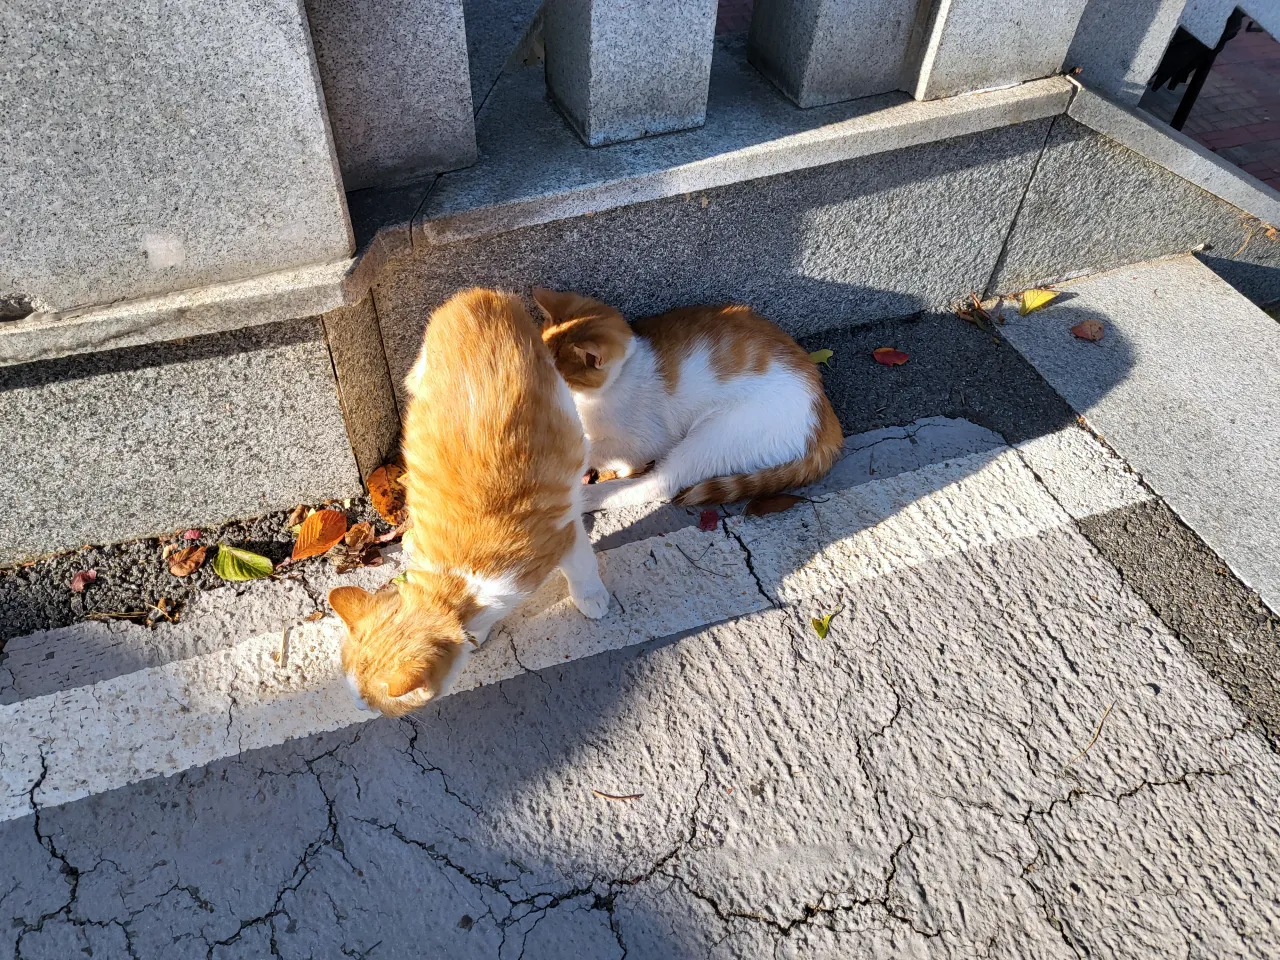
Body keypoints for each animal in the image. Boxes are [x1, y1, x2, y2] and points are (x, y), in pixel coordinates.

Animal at [330, 289, 609, 716]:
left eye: (370, 706)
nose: (360, 711)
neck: (451, 589)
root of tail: (475, 296)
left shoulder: (563, 534)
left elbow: (582, 567)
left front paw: (591, 597)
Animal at [535, 291, 844, 512]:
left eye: (558, 377)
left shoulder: (646, 439)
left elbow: (592, 448)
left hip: (719, 433)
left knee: (660, 483)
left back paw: (585, 497)